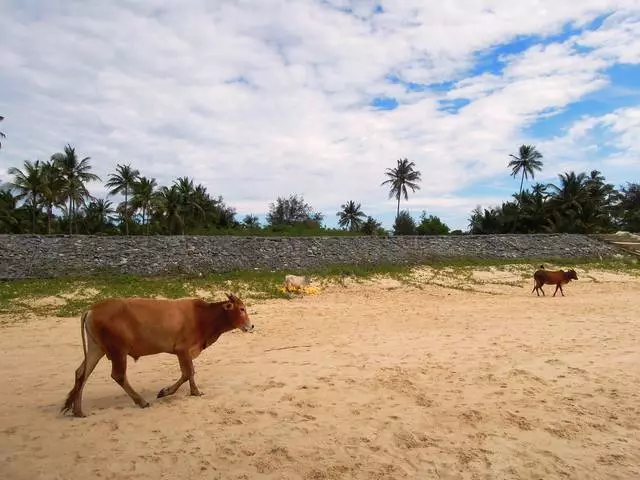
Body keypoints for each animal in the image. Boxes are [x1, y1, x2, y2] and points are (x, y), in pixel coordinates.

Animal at [61, 292, 254, 416]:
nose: (251, 326)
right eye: (241, 309)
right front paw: (191, 391)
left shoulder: (182, 352)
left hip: (96, 348)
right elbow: (189, 372)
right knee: (118, 375)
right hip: (117, 351)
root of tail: (92, 309)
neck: (203, 317)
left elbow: (186, 373)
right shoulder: (183, 350)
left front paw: (175, 391)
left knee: (82, 373)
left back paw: (77, 410)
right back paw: (141, 401)